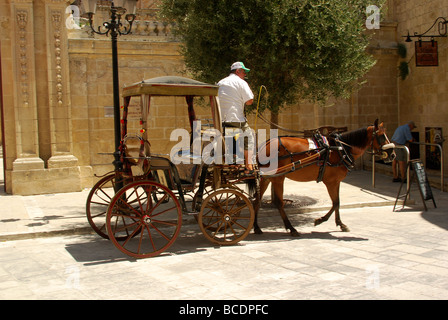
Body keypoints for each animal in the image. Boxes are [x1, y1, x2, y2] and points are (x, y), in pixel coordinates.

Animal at [252, 119, 396, 236]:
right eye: (381, 136)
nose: (393, 155)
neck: (340, 149)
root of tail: (265, 145)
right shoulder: (330, 181)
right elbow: (335, 202)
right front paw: (320, 220)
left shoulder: (337, 181)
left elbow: (337, 202)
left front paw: (340, 224)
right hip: (278, 178)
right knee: (279, 203)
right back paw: (291, 228)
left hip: (267, 177)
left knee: (257, 200)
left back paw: (257, 227)